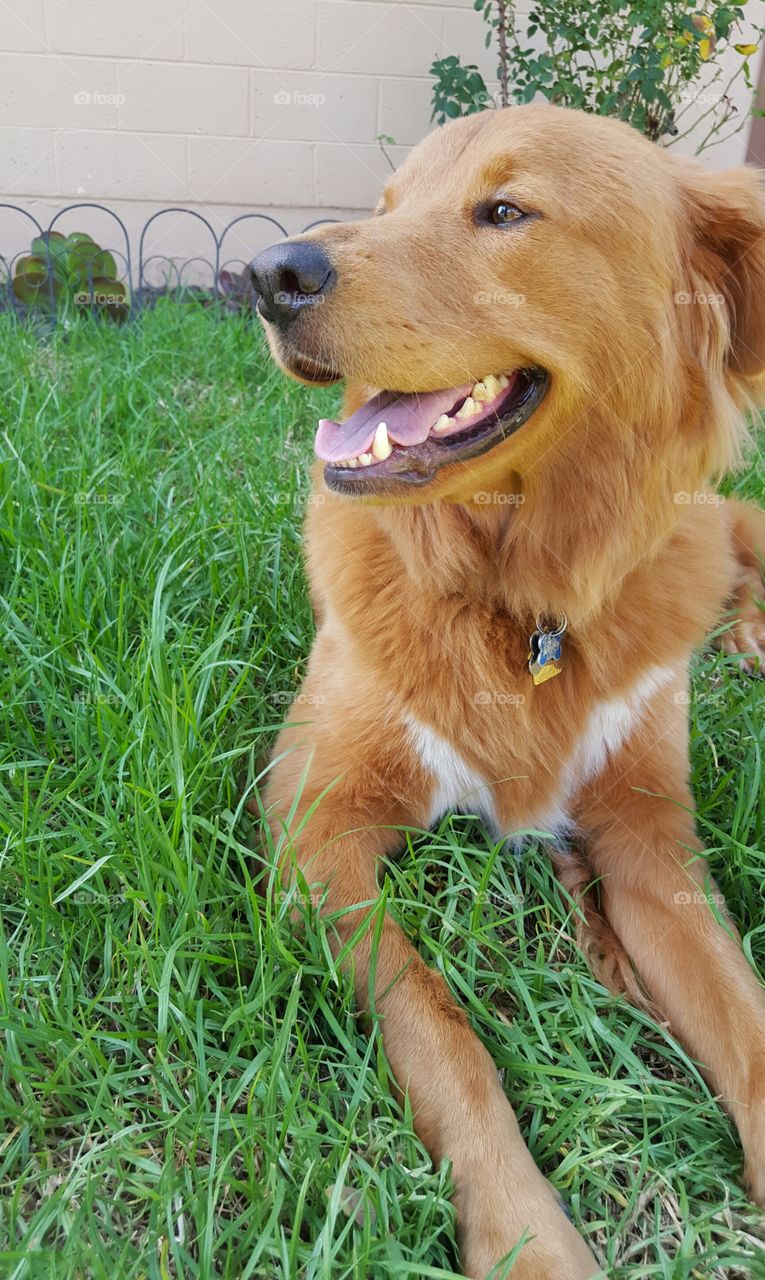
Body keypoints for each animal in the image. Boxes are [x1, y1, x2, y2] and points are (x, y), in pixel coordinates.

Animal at [252, 104, 765, 1274]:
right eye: (386, 206)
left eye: (503, 211)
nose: (266, 272)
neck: (517, 600)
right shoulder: (315, 820)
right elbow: (441, 1031)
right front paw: (531, 1239)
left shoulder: (649, 840)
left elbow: (748, 1021)